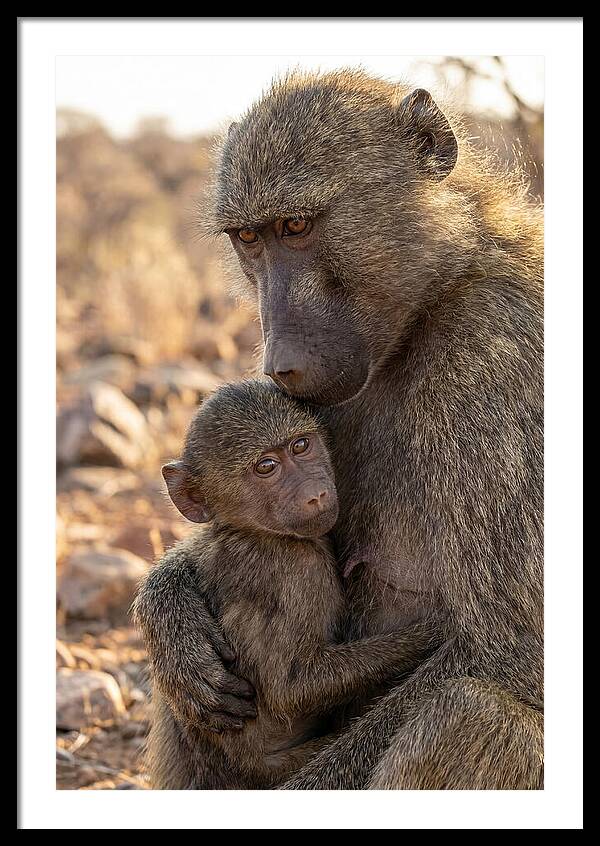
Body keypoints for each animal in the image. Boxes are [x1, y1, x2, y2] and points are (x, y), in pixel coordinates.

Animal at [133, 379, 437, 789]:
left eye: (301, 446)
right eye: (266, 467)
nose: (316, 494)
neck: (252, 531)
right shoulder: (295, 571)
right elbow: (290, 688)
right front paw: (431, 633)